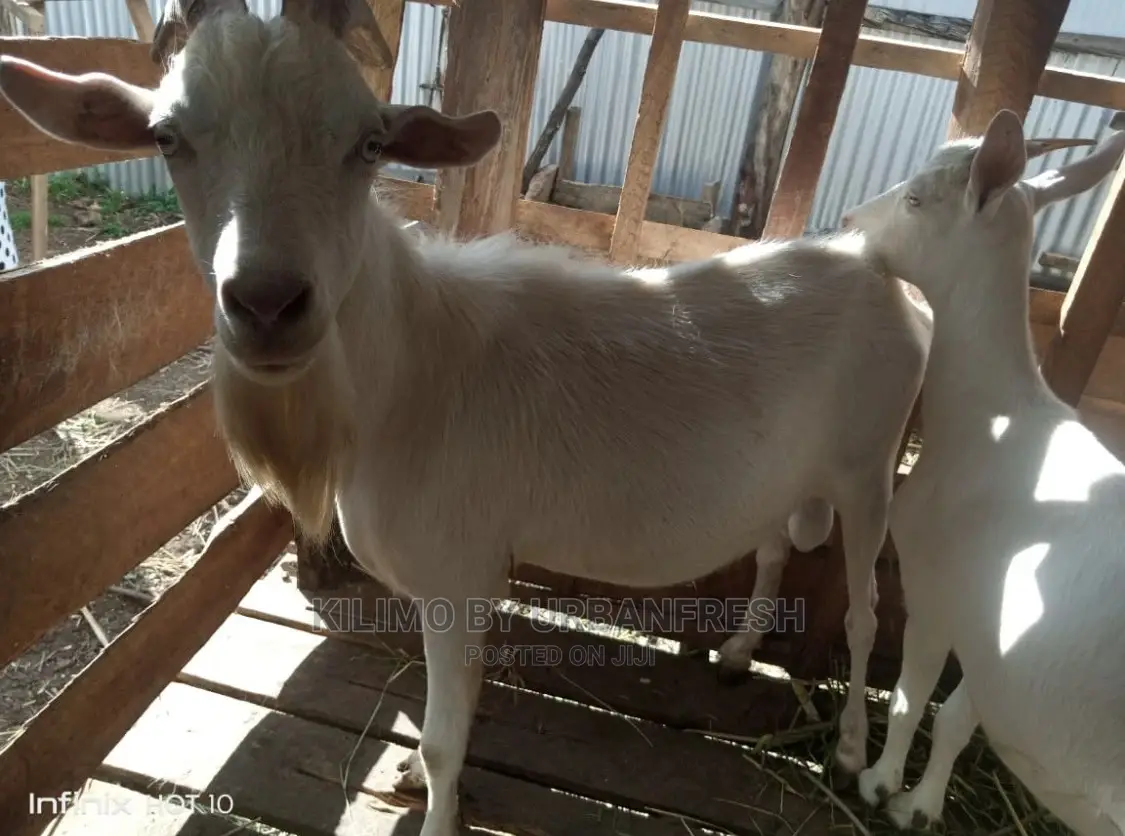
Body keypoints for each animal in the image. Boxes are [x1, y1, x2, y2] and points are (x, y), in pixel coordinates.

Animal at [0, 3, 931, 833]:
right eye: (167, 137)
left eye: (369, 144)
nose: (266, 305)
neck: (408, 373)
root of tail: (878, 272)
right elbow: (443, 710)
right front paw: (415, 774)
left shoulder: (459, 571)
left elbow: (449, 735)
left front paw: (435, 801)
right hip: (794, 470)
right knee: (772, 544)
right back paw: (738, 654)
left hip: (868, 467)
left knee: (862, 613)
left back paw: (852, 753)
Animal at [842, 110, 1125, 835]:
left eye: (916, 199)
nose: (850, 218)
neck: (995, 414)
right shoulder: (993, 636)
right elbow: (957, 719)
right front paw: (921, 805)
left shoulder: (937, 594)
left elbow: (911, 699)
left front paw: (881, 783)